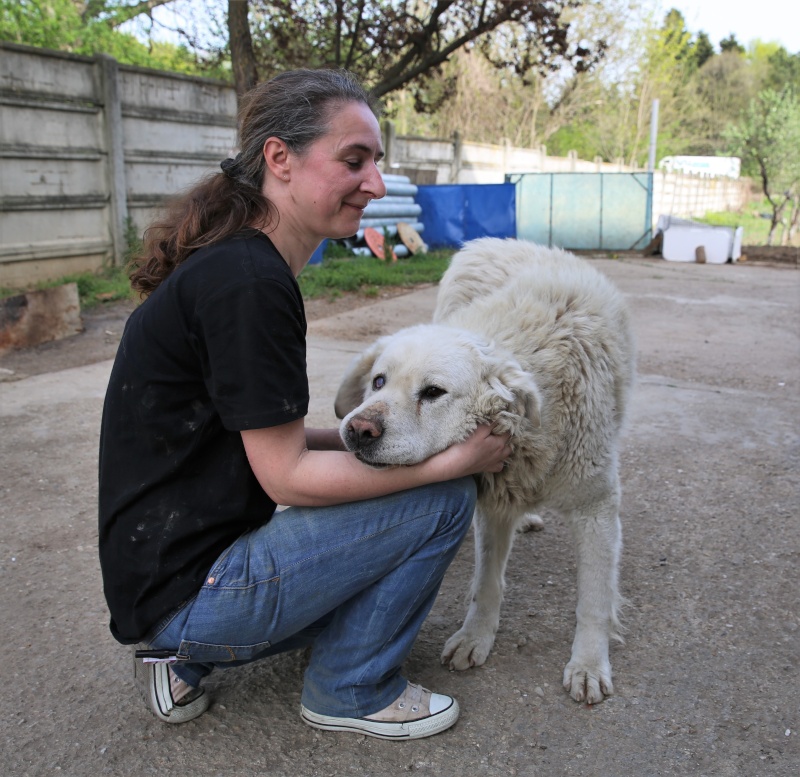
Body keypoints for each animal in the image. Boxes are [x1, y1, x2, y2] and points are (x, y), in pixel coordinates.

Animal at [334, 236, 636, 704]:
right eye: (379, 382)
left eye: (433, 392)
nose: (357, 430)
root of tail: (501, 241)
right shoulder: (495, 499)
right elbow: (486, 583)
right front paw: (476, 637)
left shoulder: (596, 508)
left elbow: (594, 599)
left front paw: (588, 664)